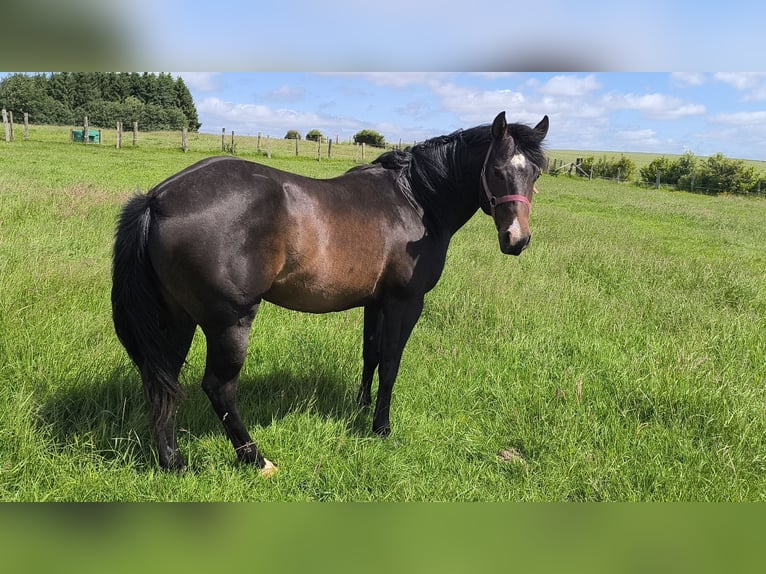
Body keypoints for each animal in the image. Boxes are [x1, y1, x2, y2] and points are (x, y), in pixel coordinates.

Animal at [111, 111, 549, 475]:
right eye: (496, 170)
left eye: (535, 174)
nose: (517, 240)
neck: (415, 200)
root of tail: (158, 199)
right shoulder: (406, 303)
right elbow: (391, 363)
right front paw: (381, 428)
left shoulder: (375, 302)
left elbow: (371, 355)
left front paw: (362, 408)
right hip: (229, 321)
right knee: (219, 389)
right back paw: (256, 459)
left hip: (176, 319)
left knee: (161, 381)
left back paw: (172, 461)